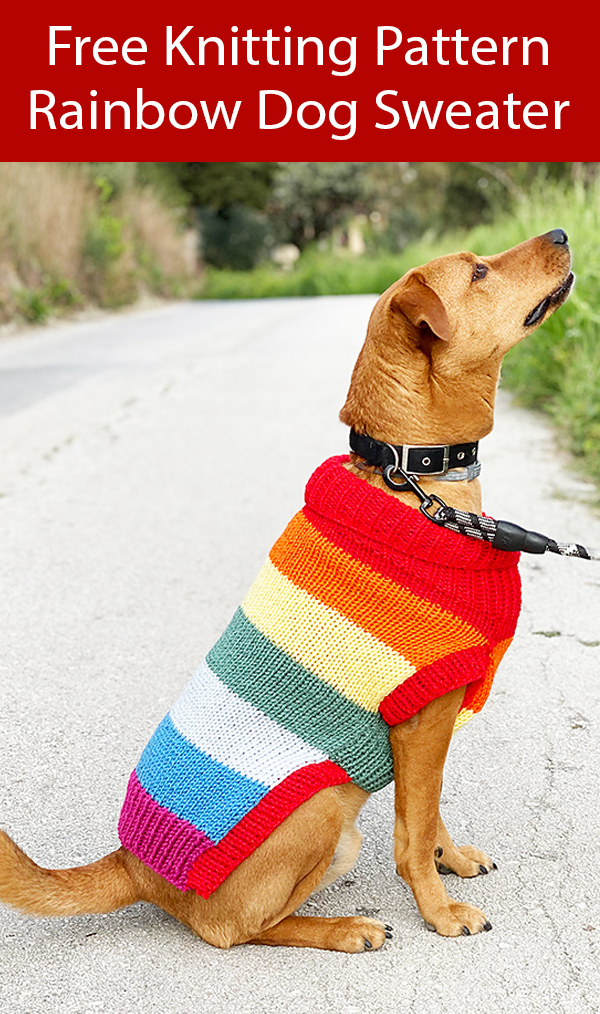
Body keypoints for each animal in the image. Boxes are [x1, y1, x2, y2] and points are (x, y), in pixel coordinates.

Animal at [0, 230, 571, 949]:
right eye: (478, 273)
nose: (563, 235)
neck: (412, 480)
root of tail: (134, 867)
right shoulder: (420, 718)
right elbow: (411, 836)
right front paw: (438, 912)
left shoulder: (429, 729)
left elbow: (429, 812)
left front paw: (453, 859)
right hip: (320, 810)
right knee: (239, 929)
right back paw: (345, 928)